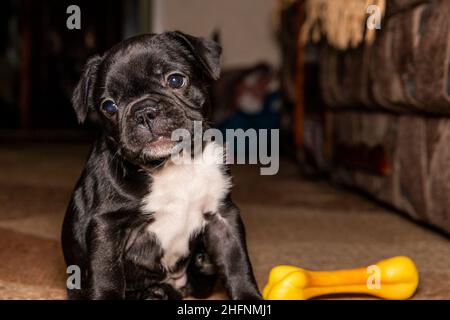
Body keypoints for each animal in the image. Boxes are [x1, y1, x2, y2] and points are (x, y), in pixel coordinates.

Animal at [61, 30, 262, 300]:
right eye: (109, 106)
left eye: (176, 80)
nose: (144, 111)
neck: (174, 163)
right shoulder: (107, 226)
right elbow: (106, 274)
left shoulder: (222, 217)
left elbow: (238, 263)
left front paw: (249, 297)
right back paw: (154, 293)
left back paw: (200, 265)